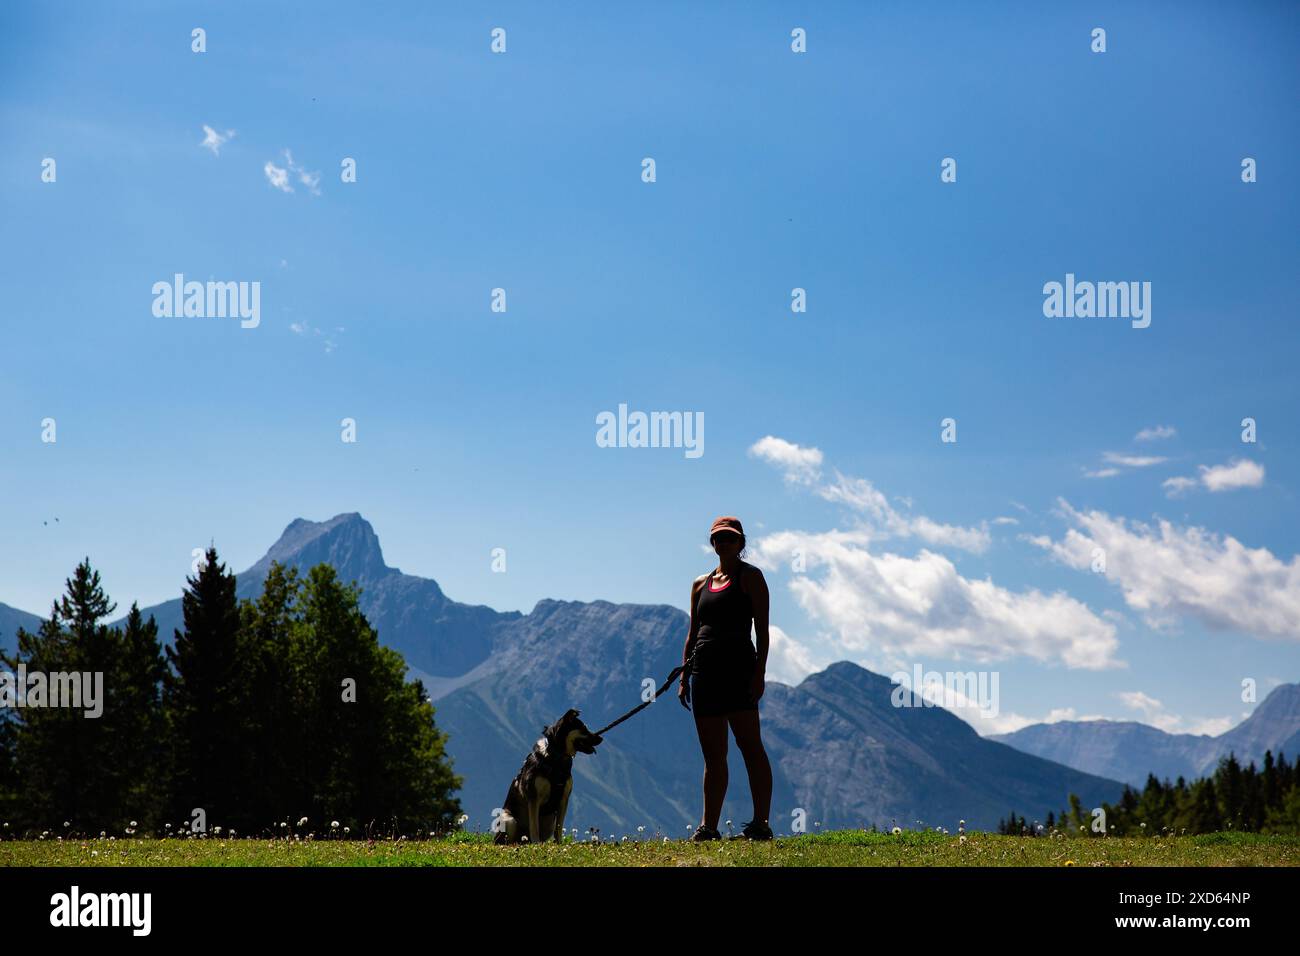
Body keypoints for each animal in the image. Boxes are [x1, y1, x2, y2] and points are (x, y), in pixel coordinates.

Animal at [491, 712, 603, 842]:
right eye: (583, 728)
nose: (601, 738)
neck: (557, 757)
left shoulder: (564, 799)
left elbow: (559, 828)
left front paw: (559, 843)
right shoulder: (534, 798)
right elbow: (534, 827)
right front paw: (536, 843)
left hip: (549, 822)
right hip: (510, 820)